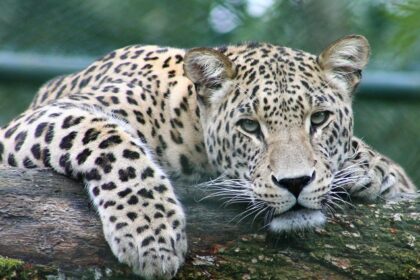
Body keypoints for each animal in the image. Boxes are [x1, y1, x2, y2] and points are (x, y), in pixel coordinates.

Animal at [0, 34, 416, 278]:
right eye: (249, 127)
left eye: (319, 119)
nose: (296, 182)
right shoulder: (35, 122)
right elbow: (109, 139)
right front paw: (151, 234)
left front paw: (374, 170)